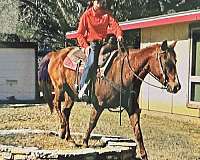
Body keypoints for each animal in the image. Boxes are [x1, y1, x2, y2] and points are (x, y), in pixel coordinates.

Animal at [38, 40, 180, 160]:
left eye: (176, 60)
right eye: (167, 62)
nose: (176, 86)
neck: (125, 72)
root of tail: (55, 54)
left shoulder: (132, 108)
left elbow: (138, 132)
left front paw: (144, 154)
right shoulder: (99, 105)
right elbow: (92, 122)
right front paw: (85, 142)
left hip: (71, 94)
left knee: (66, 111)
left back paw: (68, 137)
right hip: (59, 88)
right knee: (57, 106)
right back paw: (63, 129)